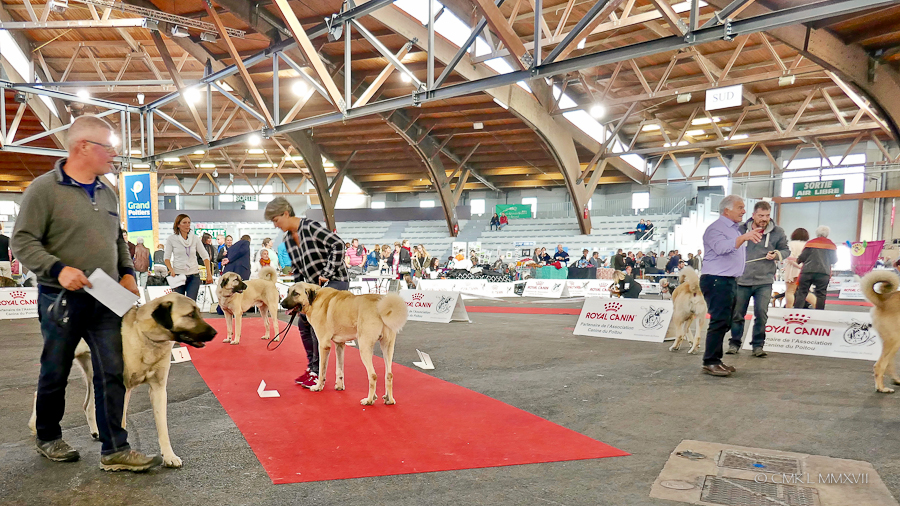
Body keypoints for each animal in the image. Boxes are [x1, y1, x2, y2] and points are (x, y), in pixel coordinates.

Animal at [29, 293, 217, 467]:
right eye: (190, 315)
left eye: (198, 312)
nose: (215, 333)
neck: (146, 336)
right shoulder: (123, 389)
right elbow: (122, 421)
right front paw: (122, 453)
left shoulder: (158, 389)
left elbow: (163, 428)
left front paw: (169, 456)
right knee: (41, 390)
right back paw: (37, 430)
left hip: (94, 374)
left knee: (88, 404)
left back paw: (97, 432)